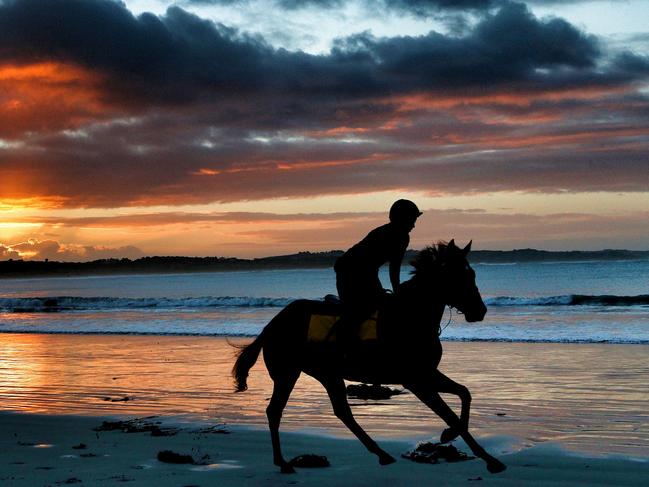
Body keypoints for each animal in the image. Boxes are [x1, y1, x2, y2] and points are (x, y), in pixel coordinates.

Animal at [232, 242, 506, 474]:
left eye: (472, 275)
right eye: (459, 276)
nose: (480, 311)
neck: (411, 317)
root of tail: (272, 325)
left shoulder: (427, 373)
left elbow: (464, 393)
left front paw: (453, 436)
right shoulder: (415, 380)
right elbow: (448, 412)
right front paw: (486, 457)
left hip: (325, 373)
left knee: (340, 411)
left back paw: (380, 453)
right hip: (288, 372)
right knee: (276, 411)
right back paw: (284, 462)